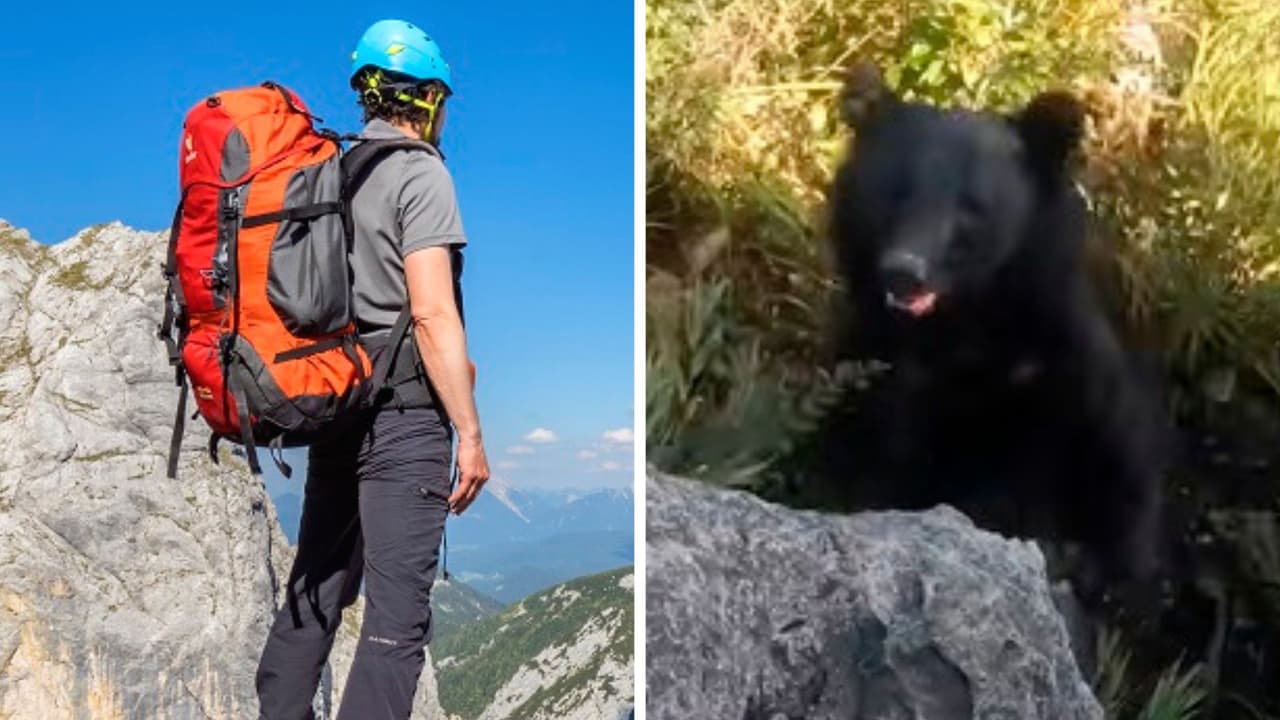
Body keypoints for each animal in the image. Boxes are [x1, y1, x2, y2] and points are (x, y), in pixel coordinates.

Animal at [814, 62, 1167, 598]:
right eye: (895, 191)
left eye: (972, 208)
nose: (903, 273)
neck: (963, 321)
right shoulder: (877, 368)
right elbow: (876, 459)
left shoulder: (1051, 383)